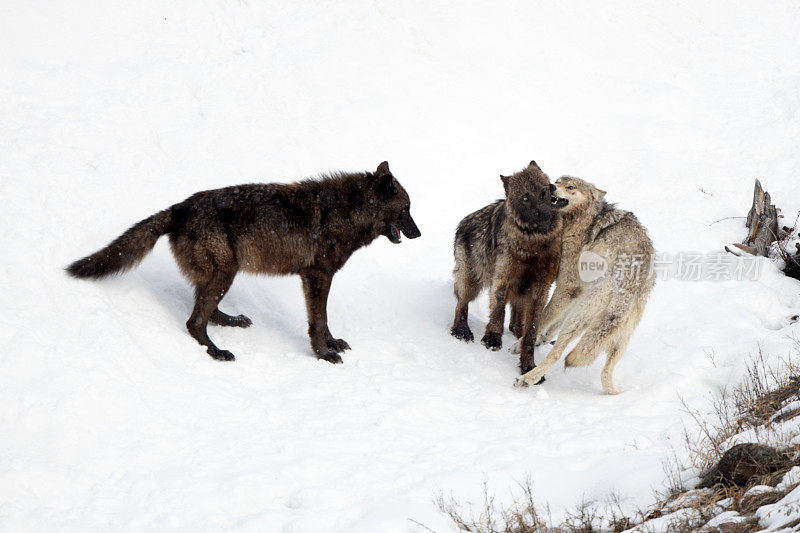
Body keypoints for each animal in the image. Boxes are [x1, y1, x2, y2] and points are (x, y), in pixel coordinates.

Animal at [65, 161, 422, 362]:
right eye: (406, 210)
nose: (419, 233)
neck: (347, 211)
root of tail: (178, 208)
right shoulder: (317, 276)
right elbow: (318, 321)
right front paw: (323, 354)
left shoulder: (318, 278)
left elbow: (323, 320)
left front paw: (332, 344)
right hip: (225, 273)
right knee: (194, 322)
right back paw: (216, 352)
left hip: (223, 274)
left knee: (205, 312)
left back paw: (232, 322)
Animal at [516, 177, 652, 392]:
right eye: (557, 181)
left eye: (571, 187)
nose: (551, 186)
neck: (581, 219)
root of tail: (630, 289)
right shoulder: (578, 291)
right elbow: (554, 321)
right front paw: (541, 338)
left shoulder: (568, 285)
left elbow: (545, 316)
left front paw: (522, 342)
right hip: (615, 338)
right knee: (605, 373)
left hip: (582, 317)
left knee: (558, 352)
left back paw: (527, 378)